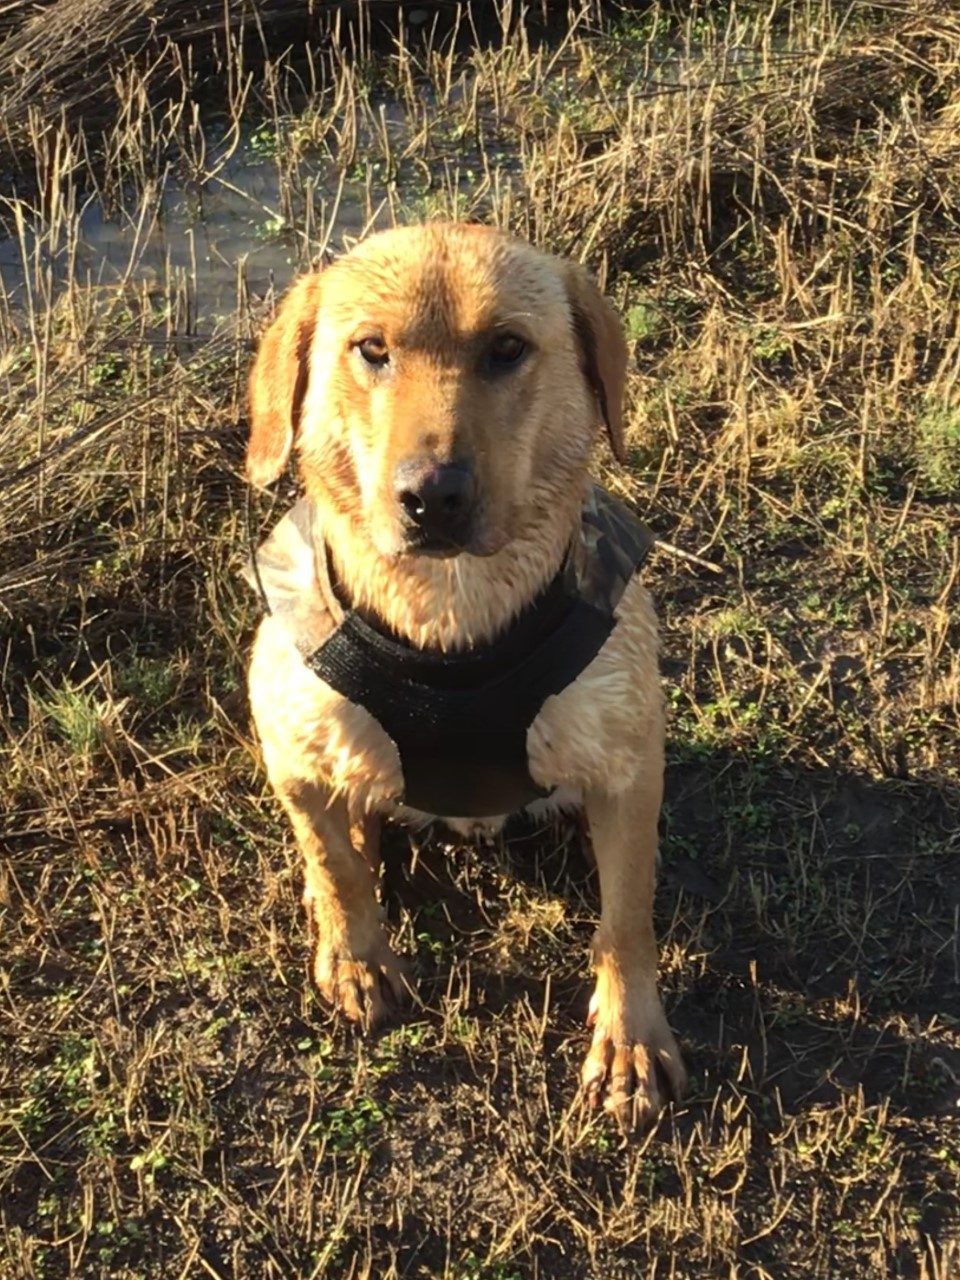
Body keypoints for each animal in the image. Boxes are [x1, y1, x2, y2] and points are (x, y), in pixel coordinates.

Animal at [244, 225, 686, 1126]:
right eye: (371, 349)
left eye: (507, 348)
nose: (433, 496)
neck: (446, 618)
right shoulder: (290, 748)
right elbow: (337, 869)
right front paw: (357, 956)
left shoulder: (629, 770)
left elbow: (626, 918)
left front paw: (629, 1040)